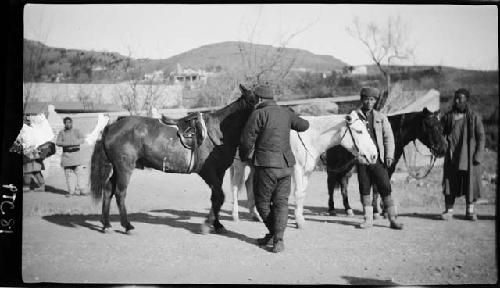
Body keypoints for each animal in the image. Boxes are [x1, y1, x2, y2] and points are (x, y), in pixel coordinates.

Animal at [90, 84, 260, 233]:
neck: (217, 132)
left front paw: (217, 224)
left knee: (108, 190)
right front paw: (208, 224)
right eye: (256, 101)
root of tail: (111, 126)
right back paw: (127, 225)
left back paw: (107, 225)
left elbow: (216, 198)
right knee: (120, 193)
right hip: (124, 167)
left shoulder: (219, 173)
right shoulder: (208, 173)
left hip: (117, 168)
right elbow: (219, 197)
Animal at [229, 110, 376, 227]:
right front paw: (299, 221)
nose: (374, 155)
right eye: (359, 131)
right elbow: (298, 193)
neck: (309, 137)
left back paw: (256, 215)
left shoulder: (307, 172)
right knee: (235, 187)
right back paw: (235, 215)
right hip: (239, 165)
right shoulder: (297, 170)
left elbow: (303, 193)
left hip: (254, 167)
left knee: (248, 184)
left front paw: (300, 218)